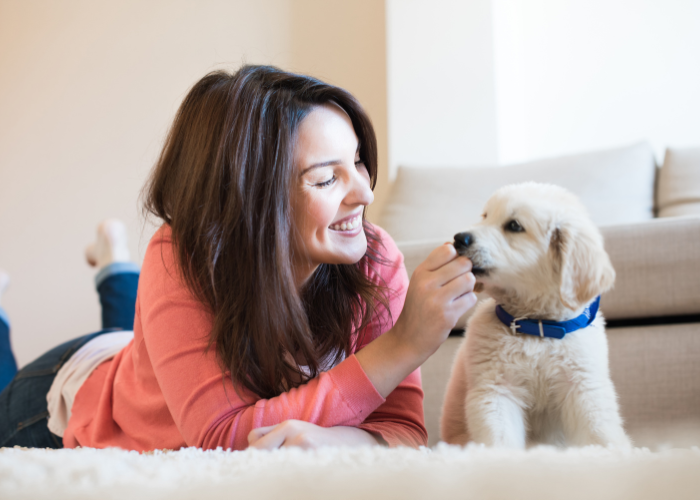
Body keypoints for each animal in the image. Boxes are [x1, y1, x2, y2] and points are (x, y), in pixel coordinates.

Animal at [446, 182, 632, 448]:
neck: (537, 326)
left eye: (514, 226)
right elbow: (499, 439)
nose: (458, 238)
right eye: (485, 216)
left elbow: (599, 433)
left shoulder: (583, 387)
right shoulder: (496, 389)